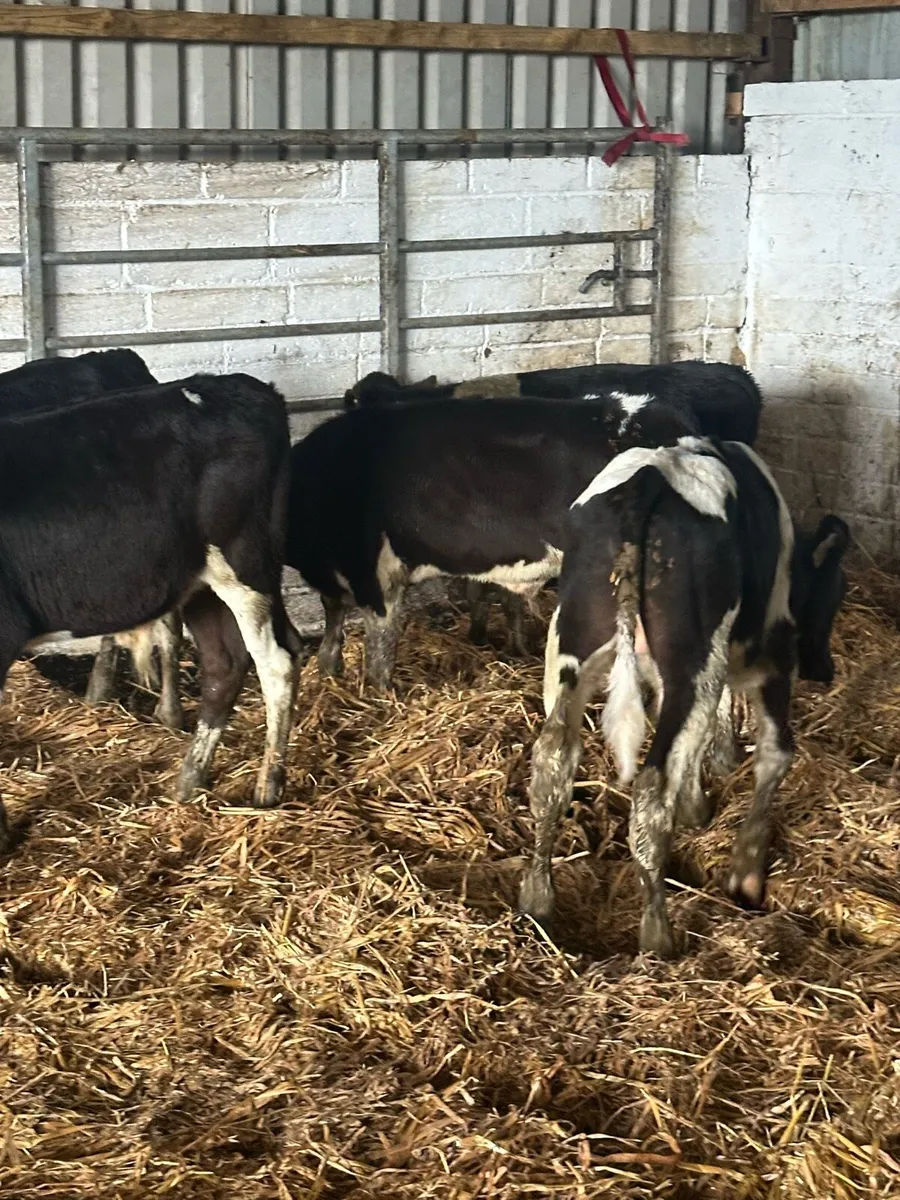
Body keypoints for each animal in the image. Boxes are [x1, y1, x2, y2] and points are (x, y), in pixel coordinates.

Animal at [518, 435, 849, 959]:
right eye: (836, 592)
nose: (825, 669)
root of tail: (651, 477)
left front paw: (697, 804)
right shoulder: (773, 656)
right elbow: (776, 753)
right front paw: (747, 871)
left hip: (570, 644)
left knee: (553, 759)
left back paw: (536, 900)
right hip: (692, 661)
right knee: (652, 789)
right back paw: (659, 936)